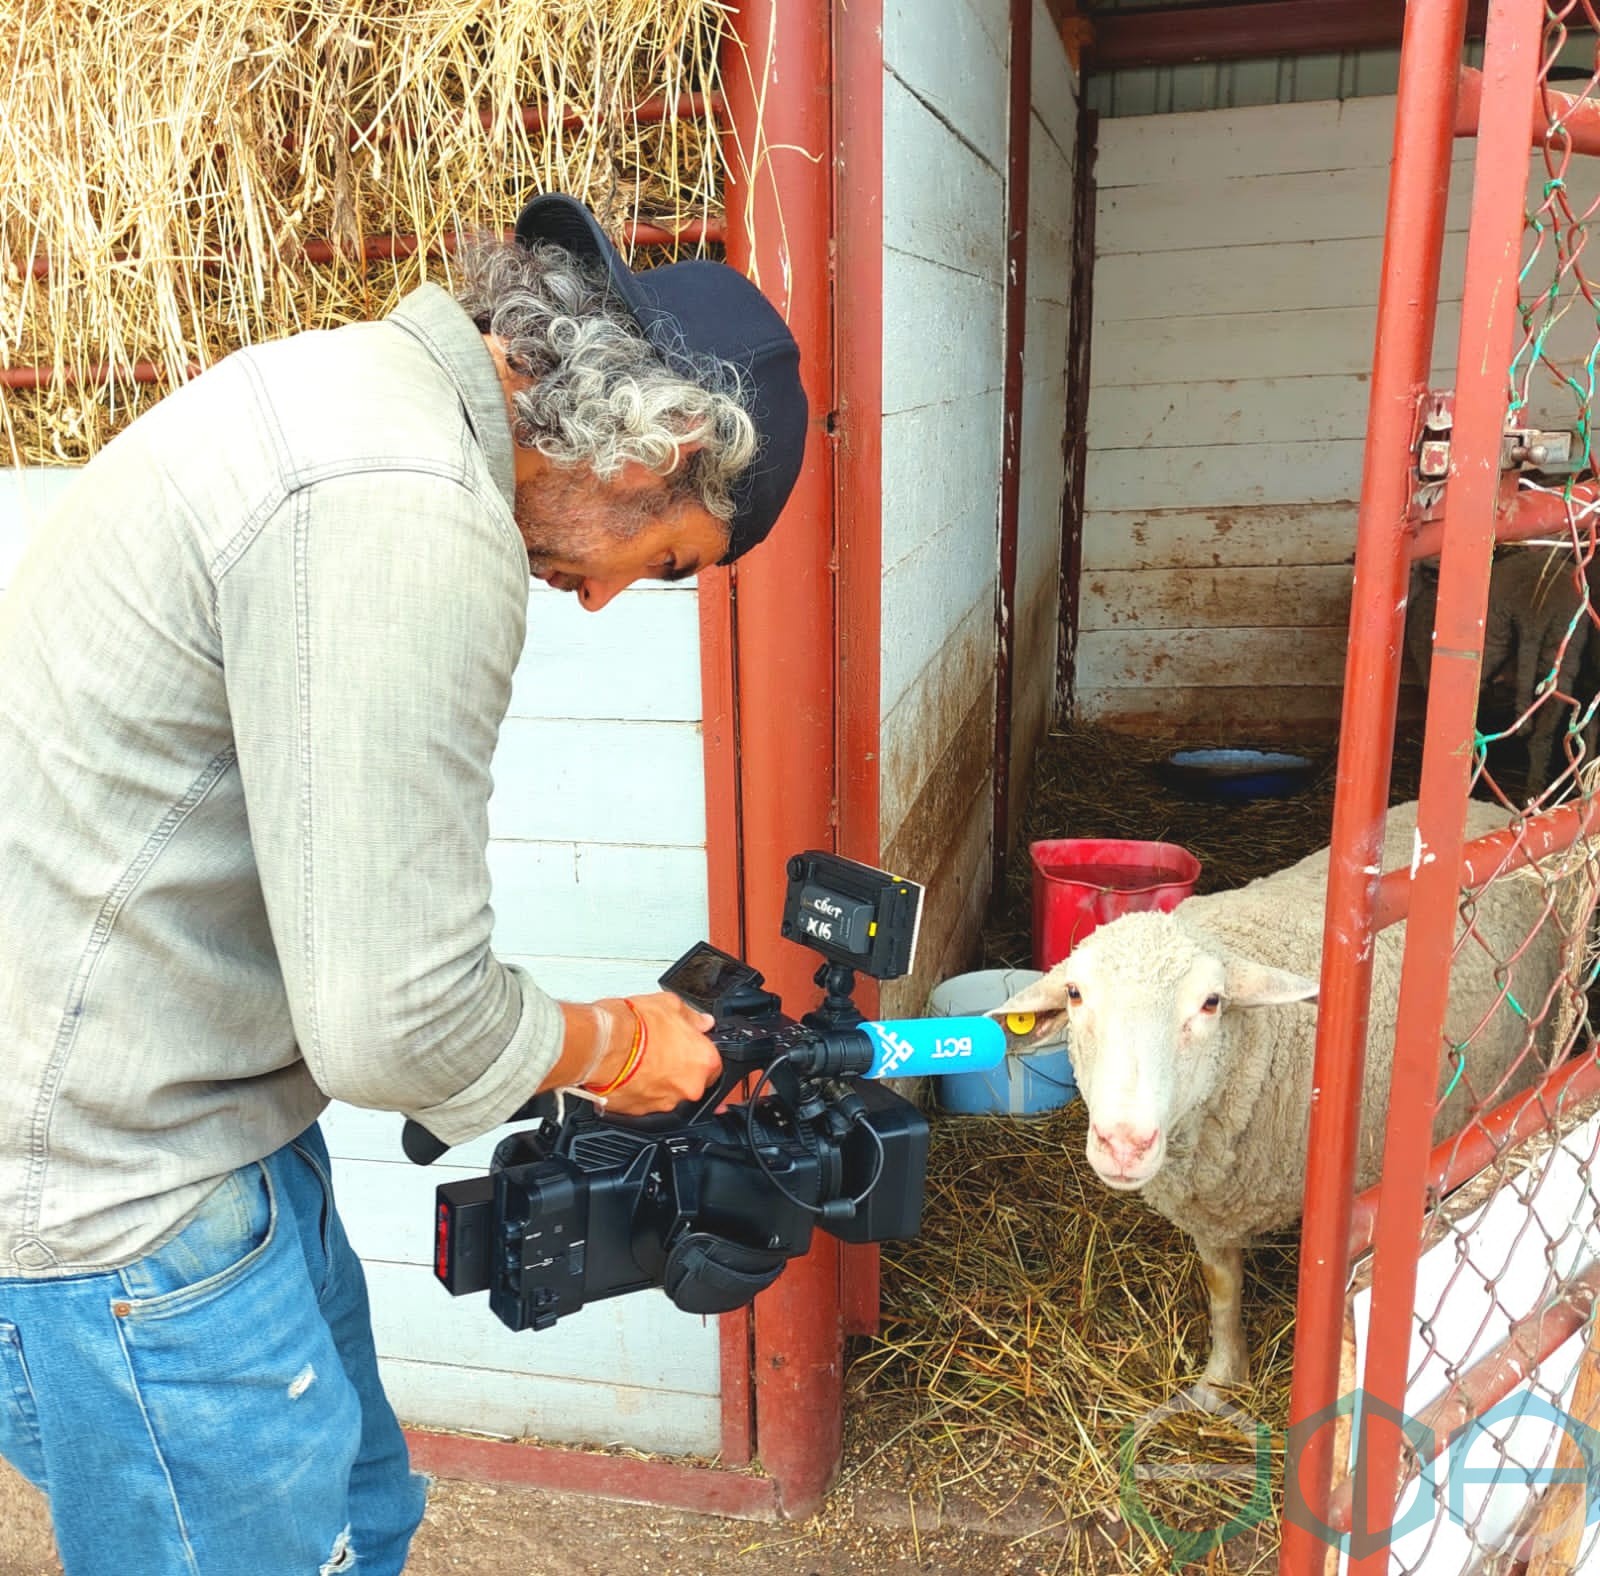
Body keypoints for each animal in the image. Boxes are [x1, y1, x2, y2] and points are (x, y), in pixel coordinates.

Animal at [992, 806, 1568, 1395]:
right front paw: (1223, 1380)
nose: (1125, 1145)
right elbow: (1223, 1293)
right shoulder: (1211, 1209)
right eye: (1074, 994)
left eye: (1212, 1002)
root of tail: (1497, 810)